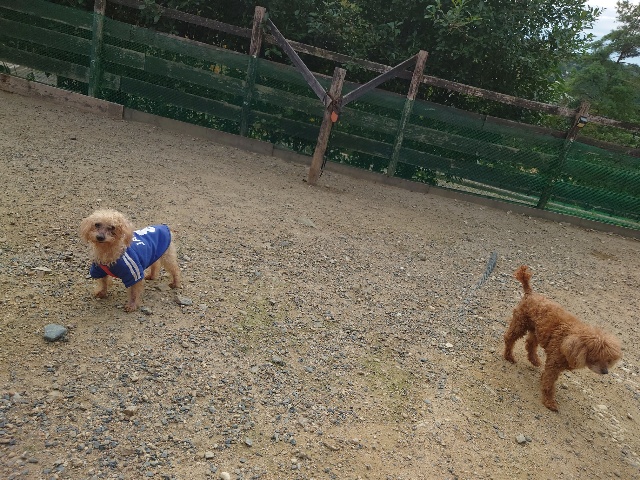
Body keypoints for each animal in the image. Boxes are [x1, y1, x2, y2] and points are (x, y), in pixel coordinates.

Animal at [503, 265, 621, 411]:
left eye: (608, 359)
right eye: (597, 356)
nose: (605, 372)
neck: (570, 340)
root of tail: (530, 293)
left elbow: (546, 378)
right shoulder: (554, 364)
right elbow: (549, 384)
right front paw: (549, 403)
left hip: (537, 330)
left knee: (530, 344)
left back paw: (535, 360)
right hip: (520, 323)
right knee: (509, 339)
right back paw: (509, 356)